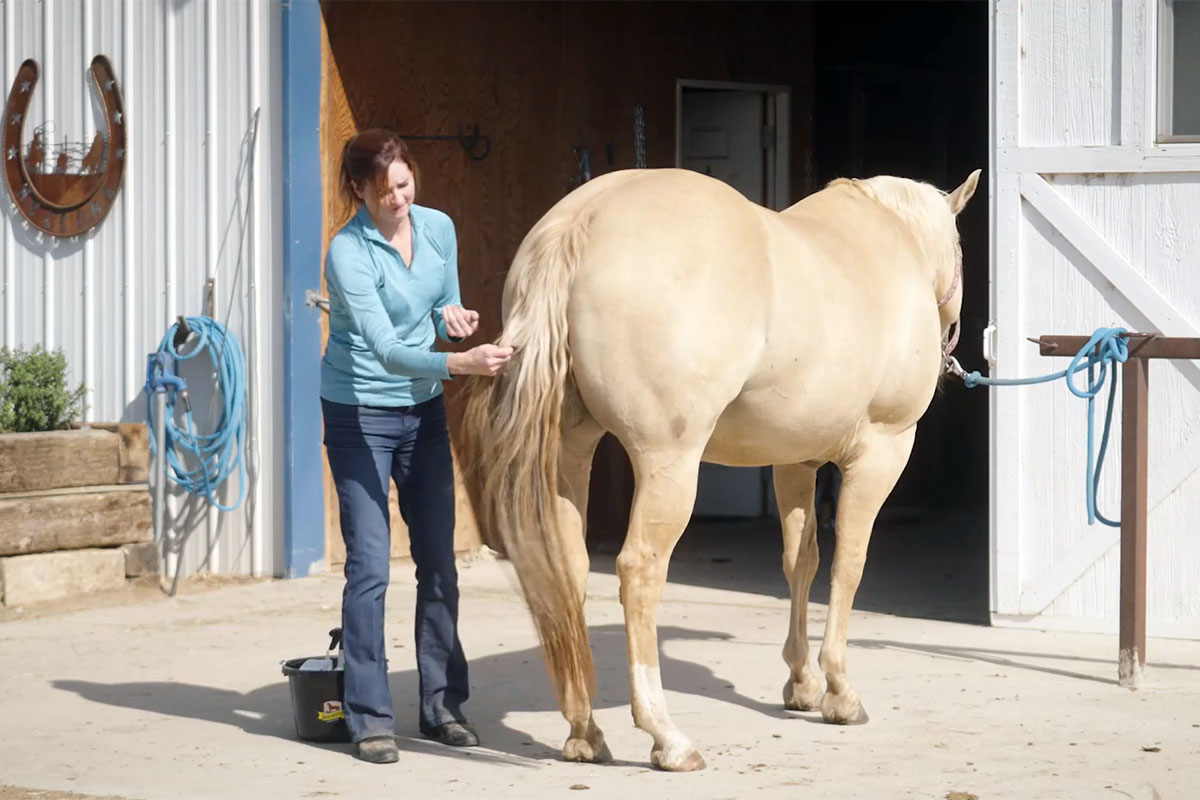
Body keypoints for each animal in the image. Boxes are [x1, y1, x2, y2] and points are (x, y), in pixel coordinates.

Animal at [458, 165, 974, 772]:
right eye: (962, 251)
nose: (952, 338)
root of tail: (579, 223)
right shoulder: (882, 453)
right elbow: (848, 564)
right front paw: (839, 693)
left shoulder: (793, 462)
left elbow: (801, 562)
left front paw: (801, 684)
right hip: (669, 465)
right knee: (640, 571)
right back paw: (667, 737)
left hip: (571, 451)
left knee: (570, 567)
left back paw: (585, 733)